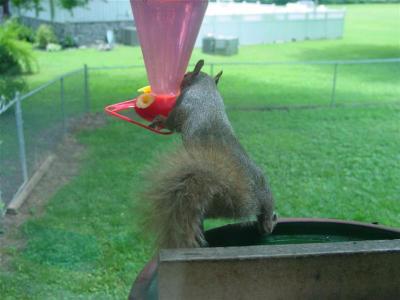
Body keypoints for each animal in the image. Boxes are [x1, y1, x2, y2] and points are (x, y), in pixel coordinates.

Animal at [144, 59, 278, 248]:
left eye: (186, 75)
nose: (180, 81)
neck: (206, 88)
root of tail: (256, 198)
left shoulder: (181, 107)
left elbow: (171, 122)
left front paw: (158, 120)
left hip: (218, 204)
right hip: (265, 194)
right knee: (266, 220)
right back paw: (267, 223)